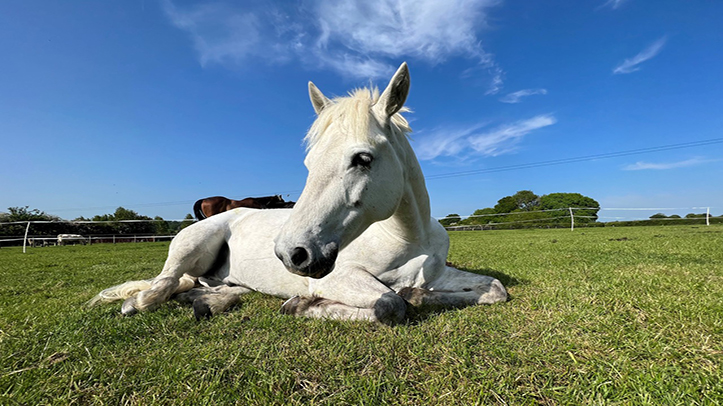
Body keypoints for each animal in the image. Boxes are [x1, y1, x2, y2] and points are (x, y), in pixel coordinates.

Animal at [89, 63, 507, 324]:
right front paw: (303, 305)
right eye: (309, 164)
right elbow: (391, 304)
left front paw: (420, 294)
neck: (408, 237)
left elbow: (495, 290)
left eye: (363, 158)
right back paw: (137, 302)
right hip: (192, 245)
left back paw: (207, 303)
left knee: (197, 289)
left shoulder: (441, 274)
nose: (292, 254)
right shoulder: (338, 277)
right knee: (161, 286)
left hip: (222, 279)